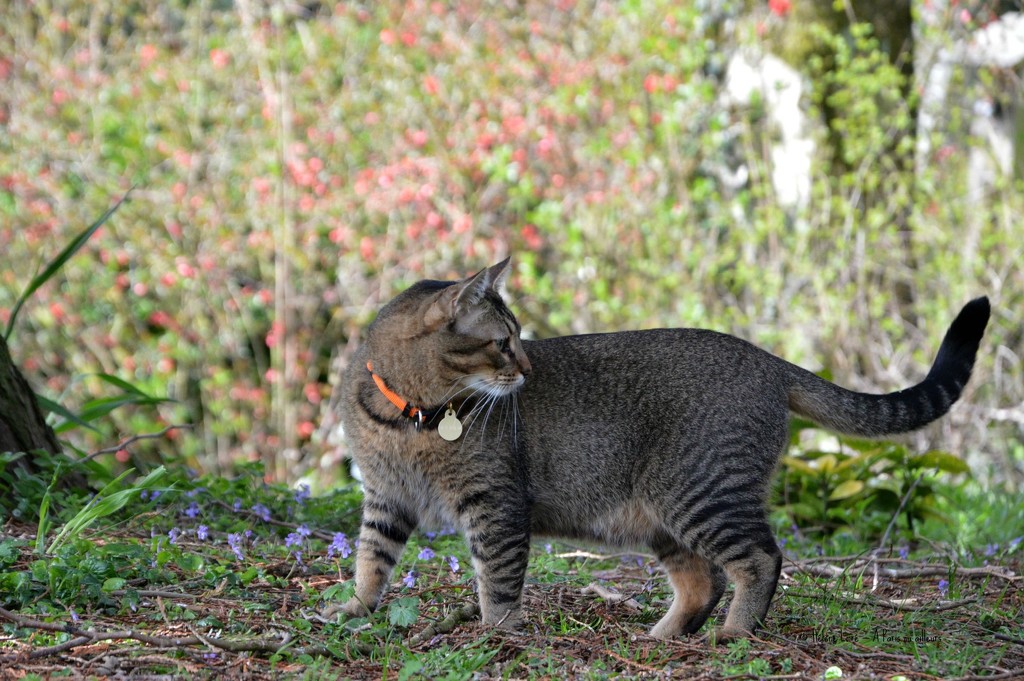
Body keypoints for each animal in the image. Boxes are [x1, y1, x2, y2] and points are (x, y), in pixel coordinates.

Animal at [335, 258, 991, 639]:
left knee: (761, 559)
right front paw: (355, 608)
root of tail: (770, 360)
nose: (525, 367)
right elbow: (371, 558)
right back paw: (663, 638)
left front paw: (497, 634)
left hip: (701, 493)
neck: (409, 418)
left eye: (519, 338)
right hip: (663, 517)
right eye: (502, 342)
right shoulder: (385, 497)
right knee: (704, 581)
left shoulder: (493, 504)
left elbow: (496, 580)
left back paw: (733, 635)